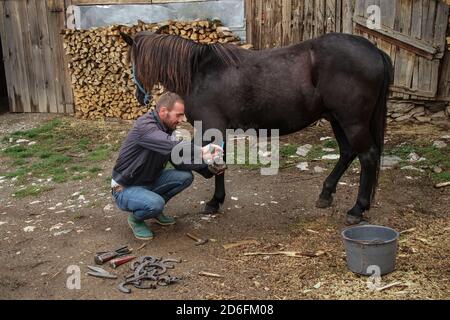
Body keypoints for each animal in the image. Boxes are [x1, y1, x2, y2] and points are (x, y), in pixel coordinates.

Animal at [121, 30, 392, 225]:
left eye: (131, 61)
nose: (139, 96)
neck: (199, 73)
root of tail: (375, 50)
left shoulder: (210, 127)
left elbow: (211, 162)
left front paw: (214, 201)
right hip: (337, 119)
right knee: (348, 153)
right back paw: (326, 195)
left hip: (352, 122)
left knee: (367, 156)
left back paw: (357, 209)